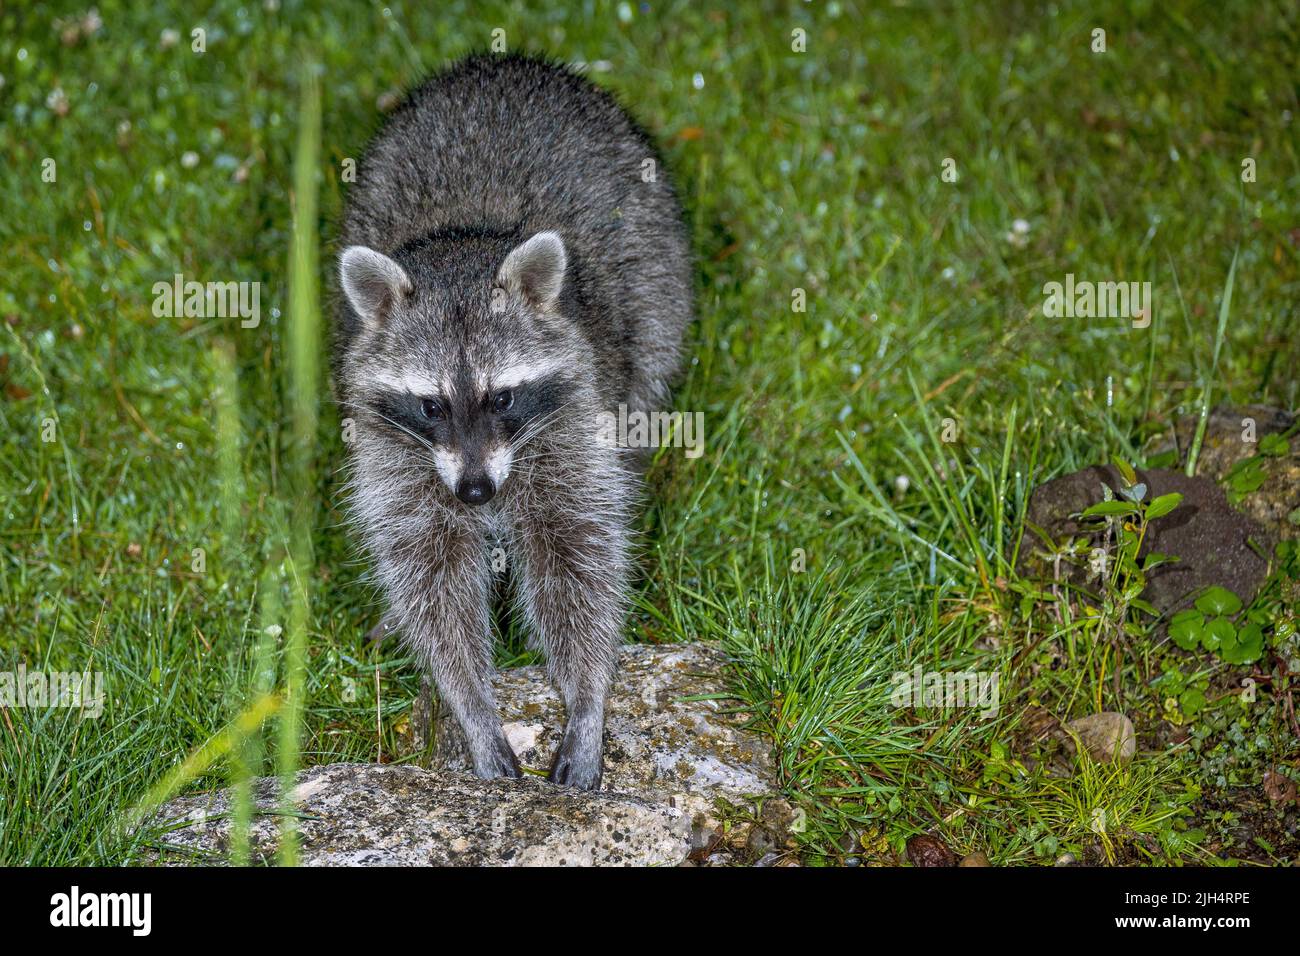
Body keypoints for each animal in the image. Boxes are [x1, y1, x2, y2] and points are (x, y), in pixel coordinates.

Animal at [333, 53, 692, 789]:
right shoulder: (393, 448)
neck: (463, 244)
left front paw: (589, 696)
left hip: (657, 278)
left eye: (501, 398)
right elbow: (428, 572)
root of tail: (503, 61)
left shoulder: (573, 414)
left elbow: (578, 553)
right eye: (431, 405)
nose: (475, 492)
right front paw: (469, 703)